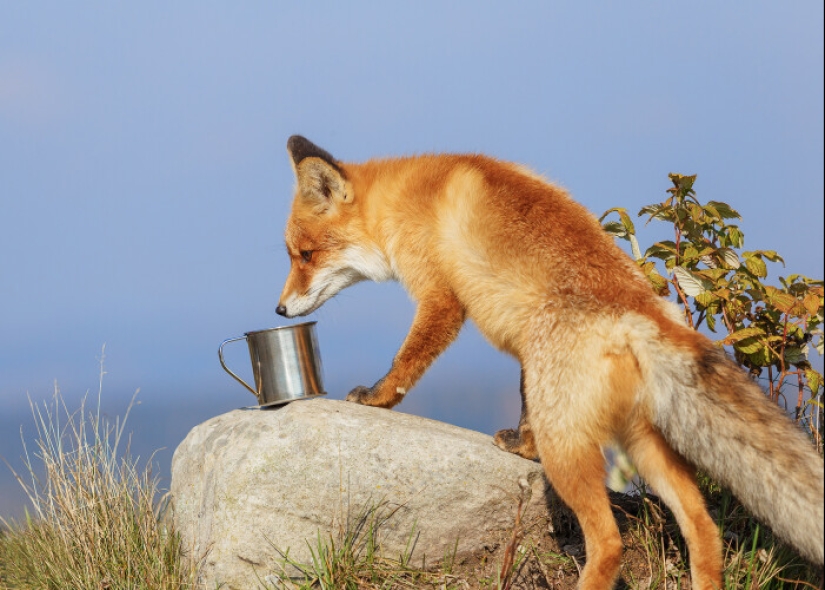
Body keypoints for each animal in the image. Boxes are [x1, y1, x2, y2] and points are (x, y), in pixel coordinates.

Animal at [276, 135, 824, 590]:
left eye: (305, 255)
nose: (279, 310)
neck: (407, 198)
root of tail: (643, 310)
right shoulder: (526, 349)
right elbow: (522, 401)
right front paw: (523, 445)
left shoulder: (441, 298)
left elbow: (406, 361)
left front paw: (376, 397)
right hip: (640, 442)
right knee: (702, 527)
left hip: (572, 450)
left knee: (609, 543)